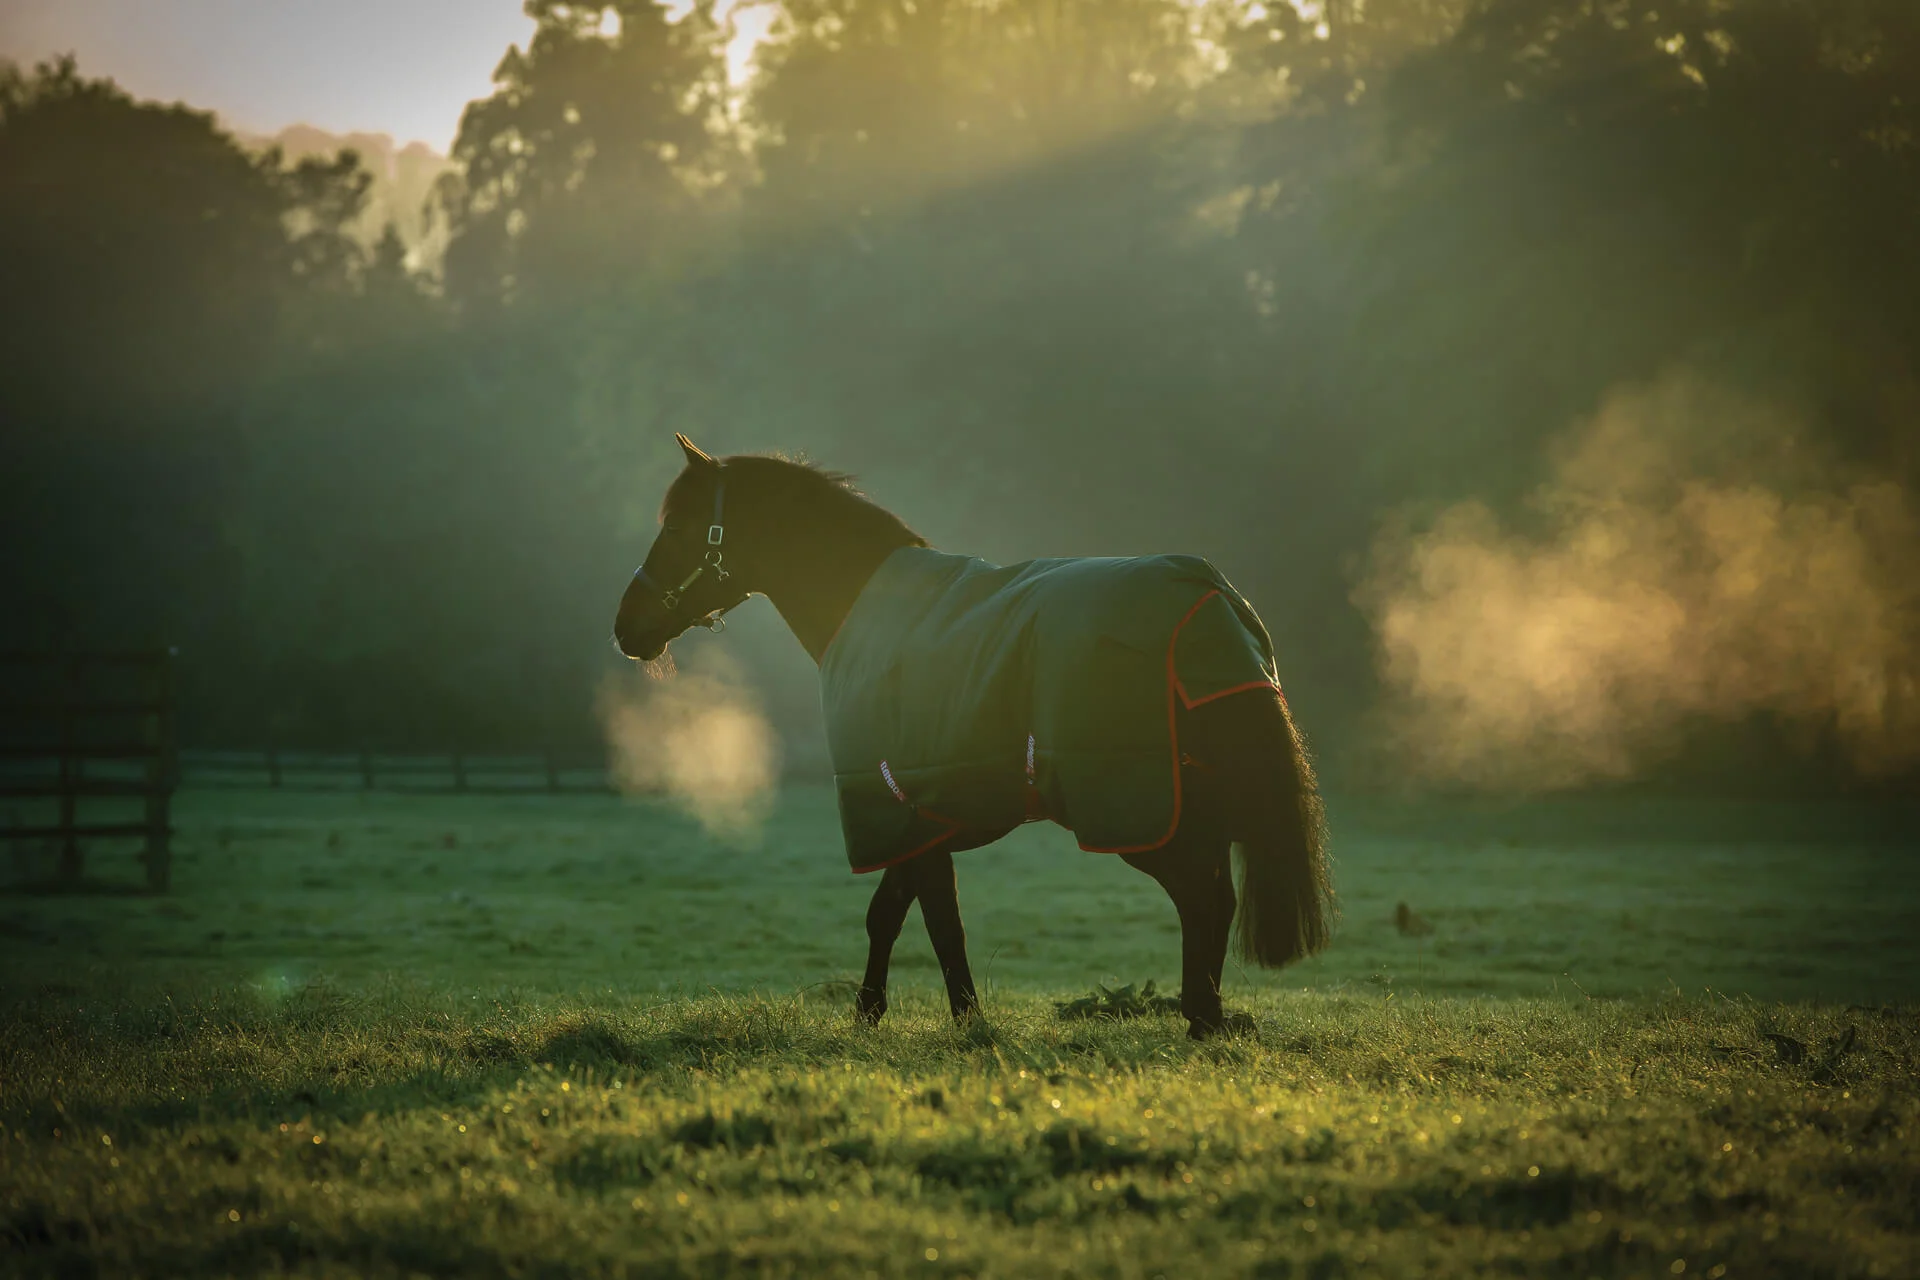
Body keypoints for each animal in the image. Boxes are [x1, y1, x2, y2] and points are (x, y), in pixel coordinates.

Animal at [606, 441, 1328, 1043]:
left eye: (679, 527)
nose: (626, 626)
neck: (865, 608)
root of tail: (1209, 600)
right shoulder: (913, 815)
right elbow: (900, 914)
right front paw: (888, 1014)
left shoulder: (901, 805)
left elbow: (927, 920)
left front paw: (949, 1021)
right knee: (1216, 899)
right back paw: (1209, 1017)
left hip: (1141, 812)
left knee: (1201, 899)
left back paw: (1201, 1020)